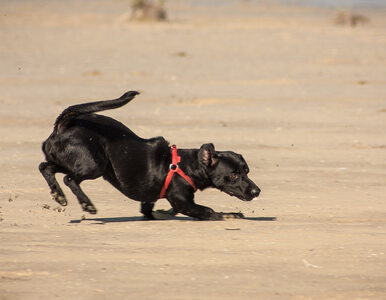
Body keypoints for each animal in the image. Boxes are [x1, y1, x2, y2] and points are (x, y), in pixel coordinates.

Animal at [38, 91, 260, 220]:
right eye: (234, 175)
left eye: (247, 171)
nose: (256, 191)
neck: (187, 166)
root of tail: (64, 125)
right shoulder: (184, 202)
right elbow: (210, 211)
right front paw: (229, 215)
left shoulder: (151, 202)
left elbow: (150, 211)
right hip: (94, 164)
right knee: (69, 178)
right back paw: (87, 205)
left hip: (71, 161)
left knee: (45, 167)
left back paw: (58, 196)